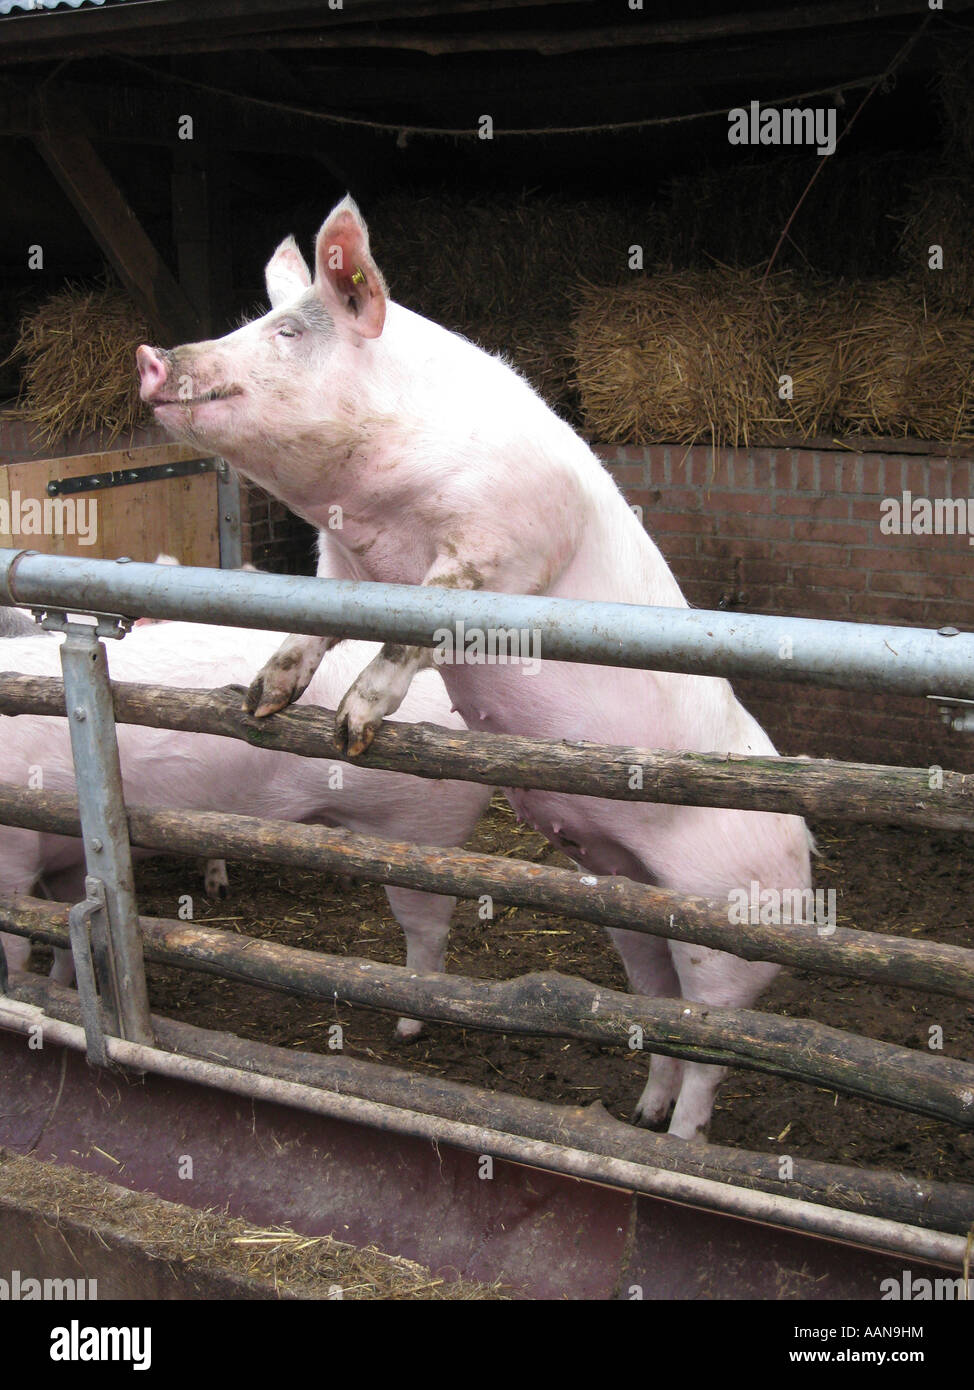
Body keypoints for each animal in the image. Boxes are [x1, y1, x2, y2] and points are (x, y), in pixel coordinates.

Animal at [0, 619, 493, 1036]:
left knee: (428, 933)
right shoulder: (65, 859)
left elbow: (16, 943)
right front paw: (57, 991)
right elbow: (63, 931)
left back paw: (405, 1030)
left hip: (420, 832)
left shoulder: (13, 856)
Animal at [136, 197, 812, 1141]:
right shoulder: (339, 565)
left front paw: (350, 727)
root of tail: (809, 853)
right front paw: (263, 701)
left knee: (715, 1053)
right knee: (659, 1011)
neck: (382, 518)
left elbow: (422, 627)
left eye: (288, 332)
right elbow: (313, 624)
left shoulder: (503, 550)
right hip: (627, 899)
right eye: (250, 321)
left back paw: (677, 1145)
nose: (152, 356)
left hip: (731, 928)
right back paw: (639, 1113)